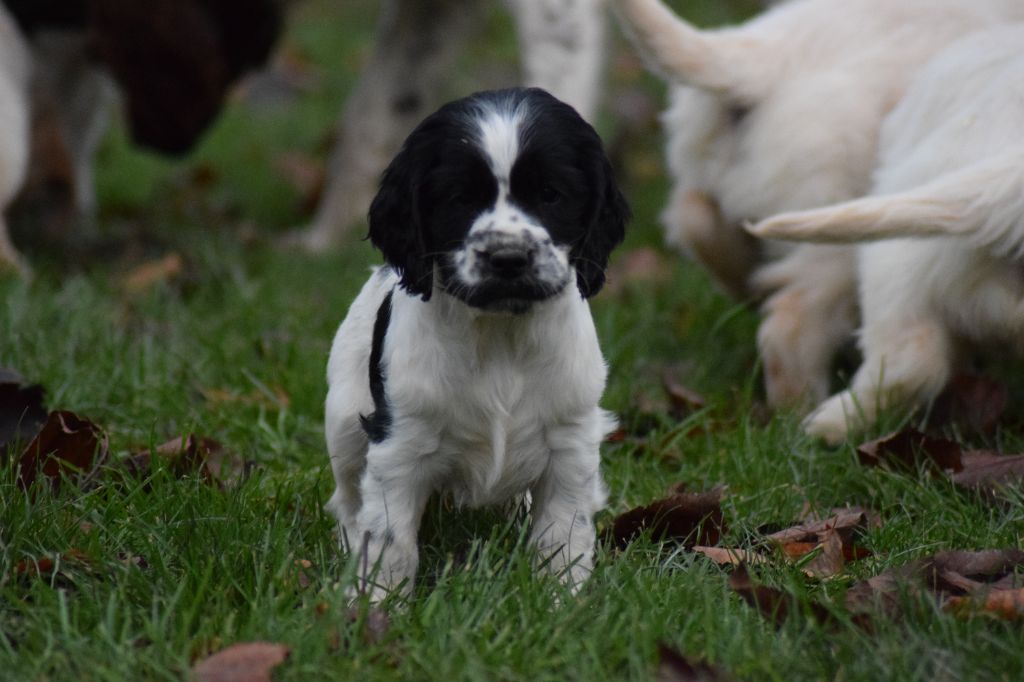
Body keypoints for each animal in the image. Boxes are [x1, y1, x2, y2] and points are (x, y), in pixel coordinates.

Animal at [323, 87, 626, 598]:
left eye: (551, 194)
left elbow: (563, 535)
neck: (500, 334)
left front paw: (560, 600)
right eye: (460, 198)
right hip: (345, 419)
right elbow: (389, 540)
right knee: (346, 496)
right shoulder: (401, 443)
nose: (508, 257)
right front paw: (375, 604)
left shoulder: (571, 442)